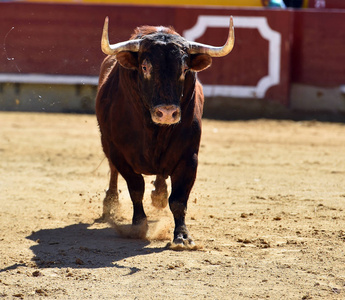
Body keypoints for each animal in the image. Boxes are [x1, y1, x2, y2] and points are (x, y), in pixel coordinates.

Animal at [95, 15, 232, 246]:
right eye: (144, 67)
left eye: (184, 70)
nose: (167, 113)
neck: (154, 131)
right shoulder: (118, 152)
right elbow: (135, 187)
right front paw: (139, 224)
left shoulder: (189, 156)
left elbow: (178, 199)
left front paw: (183, 236)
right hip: (108, 145)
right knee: (114, 172)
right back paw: (110, 203)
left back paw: (159, 194)